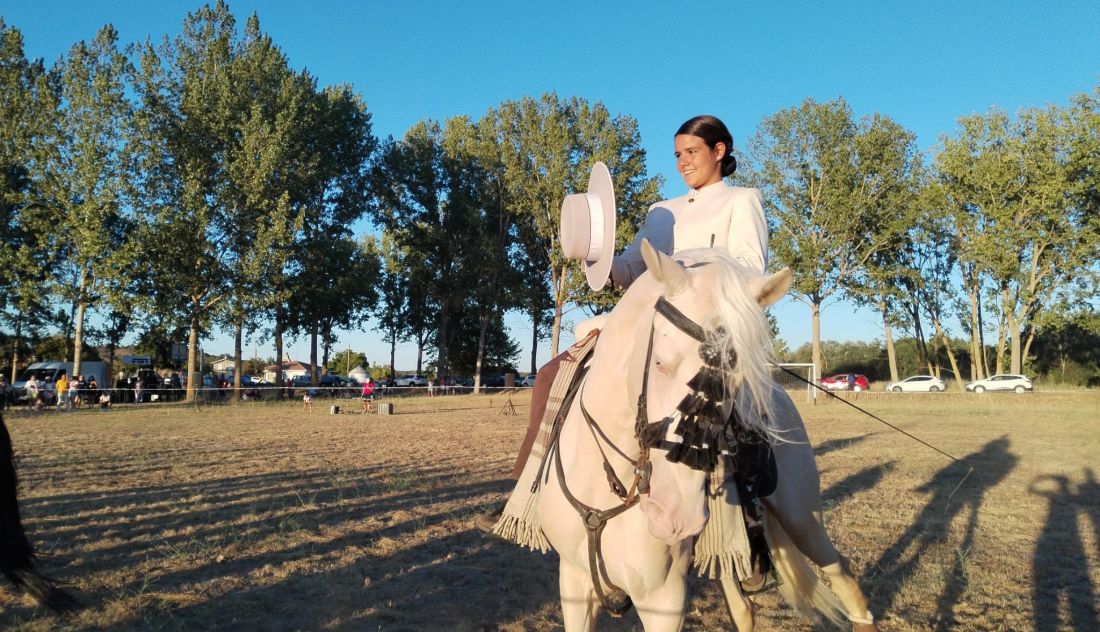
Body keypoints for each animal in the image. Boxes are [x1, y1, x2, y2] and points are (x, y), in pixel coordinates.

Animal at [532, 239, 875, 628]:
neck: (606, 490)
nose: (677, 519)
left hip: (803, 519)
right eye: (660, 363)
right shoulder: (574, 582)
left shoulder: (663, 599)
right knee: (743, 609)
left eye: (738, 383)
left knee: (843, 576)